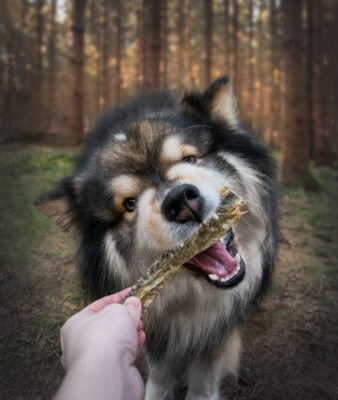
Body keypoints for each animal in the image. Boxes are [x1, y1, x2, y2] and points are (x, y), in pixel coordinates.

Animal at [35, 76, 278, 398]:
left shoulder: (217, 333)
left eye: (190, 158)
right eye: (129, 204)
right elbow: (160, 374)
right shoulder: (155, 329)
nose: (181, 200)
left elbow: (203, 380)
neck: (193, 302)